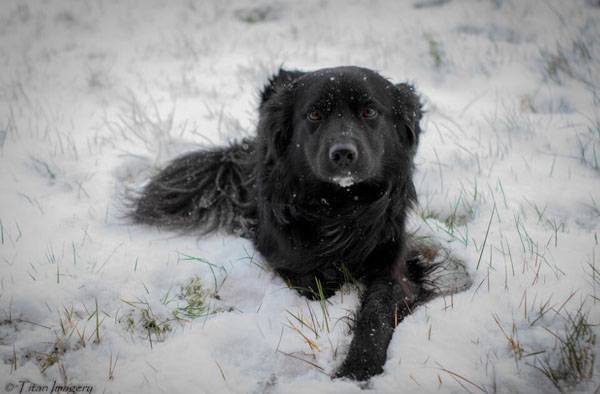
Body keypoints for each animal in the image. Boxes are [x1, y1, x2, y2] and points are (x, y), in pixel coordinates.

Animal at [132, 66, 432, 380]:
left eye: (369, 111)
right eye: (315, 115)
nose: (343, 153)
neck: (340, 203)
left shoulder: (394, 263)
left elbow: (377, 312)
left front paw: (360, 366)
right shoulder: (282, 251)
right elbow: (312, 281)